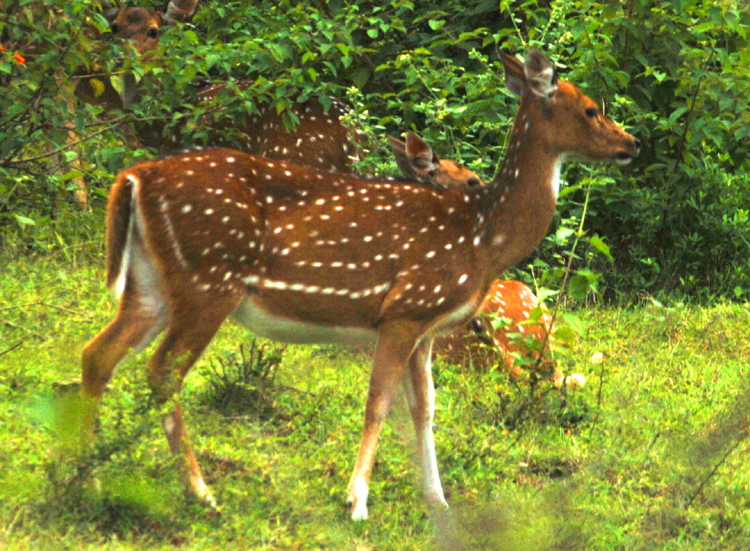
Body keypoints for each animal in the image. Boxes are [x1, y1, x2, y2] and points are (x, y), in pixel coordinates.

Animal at [79, 49, 640, 520]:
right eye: (591, 109)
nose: (632, 143)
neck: (482, 238)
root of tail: (134, 177)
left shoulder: (426, 326)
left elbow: (425, 410)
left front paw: (438, 502)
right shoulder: (403, 309)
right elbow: (379, 404)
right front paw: (356, 502)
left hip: (150, 285)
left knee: (98, 354)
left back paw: (87, 476)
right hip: (208, 281)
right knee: (162, 372)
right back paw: (200, 493)